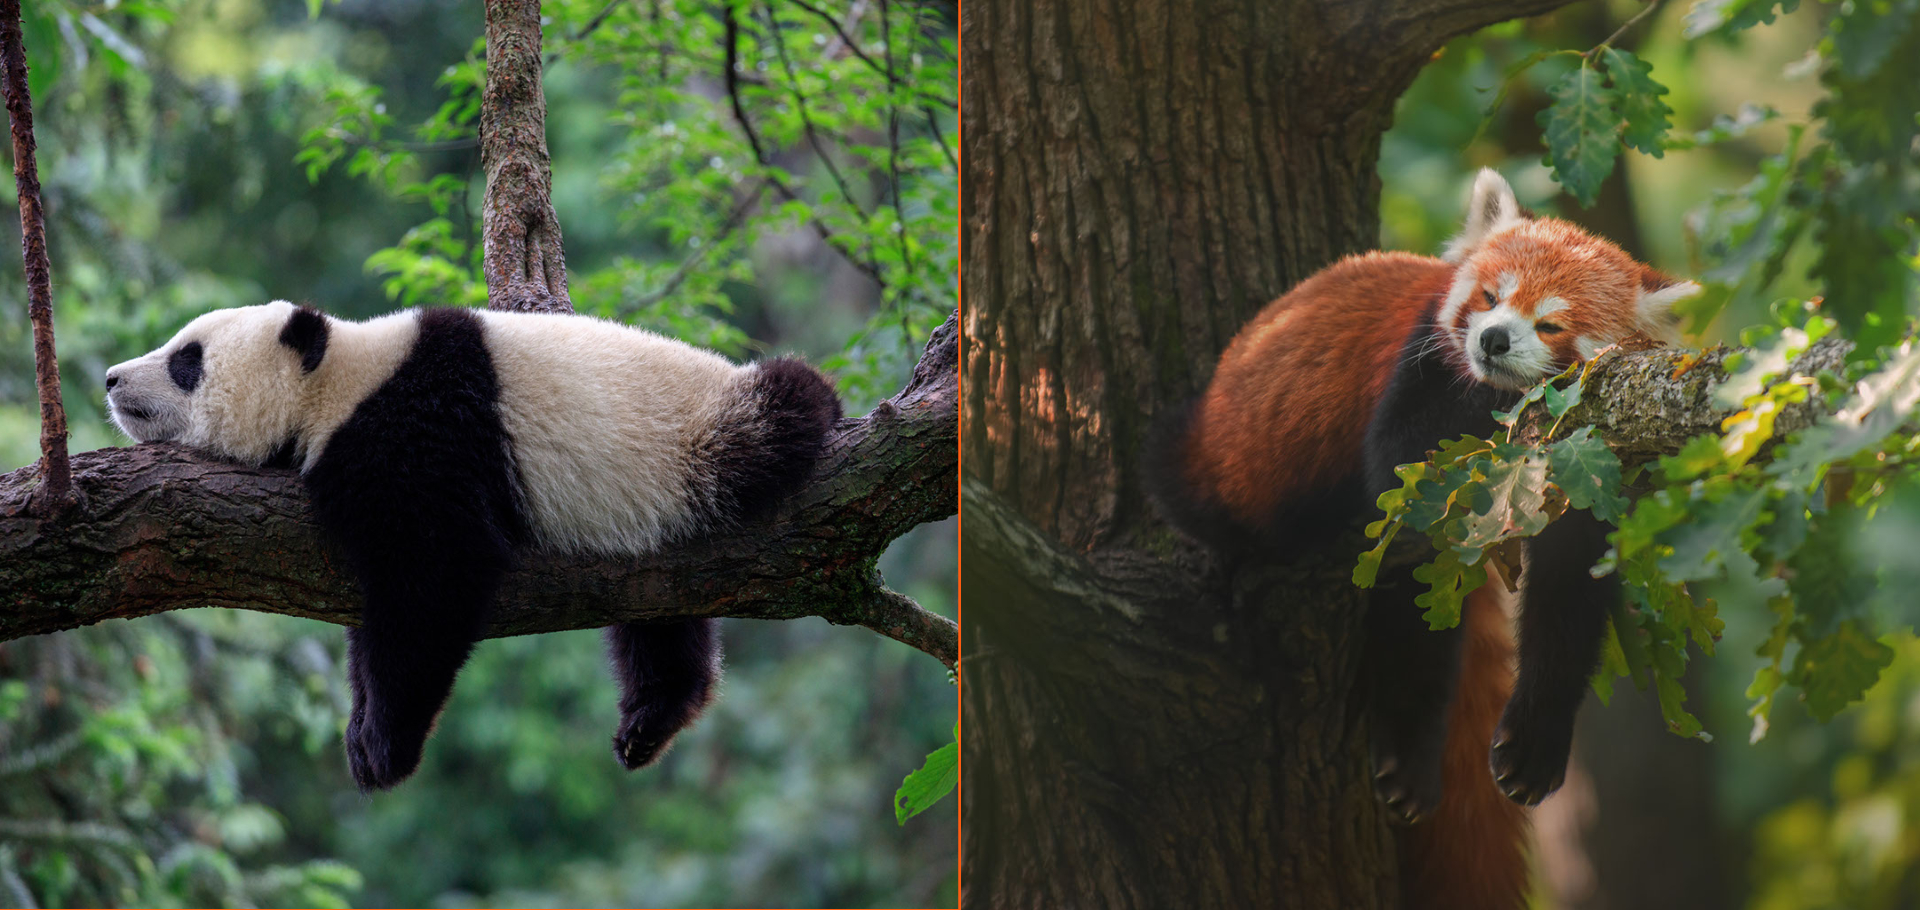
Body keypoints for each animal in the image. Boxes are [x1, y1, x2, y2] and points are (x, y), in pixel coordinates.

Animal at [103, 301, 841, 791]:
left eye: (187, 360)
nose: (111, 378)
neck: (339, 380)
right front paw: (361, 728)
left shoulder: (419, 432)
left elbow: (437, 576)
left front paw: (383, 746)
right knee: (659, 617)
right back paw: (651, 719)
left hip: (700, 437)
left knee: (781, 410)